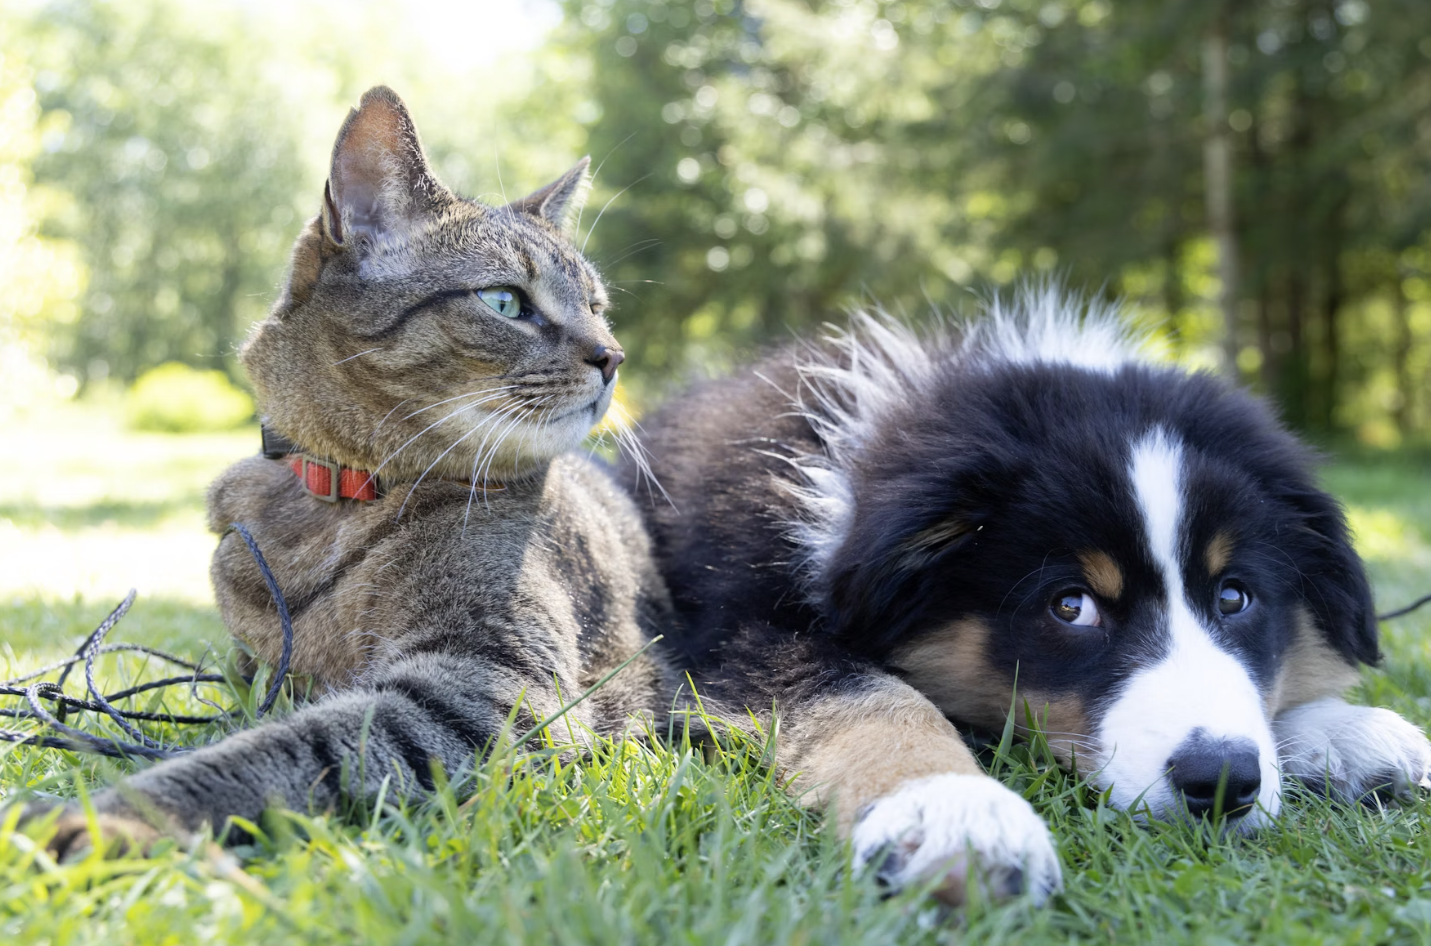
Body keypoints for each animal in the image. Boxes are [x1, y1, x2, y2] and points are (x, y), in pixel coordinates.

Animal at [23, 86, 669, 847]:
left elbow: (284, 749)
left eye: (597, 308)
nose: (613, 355)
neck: (337, 499)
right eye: (505, 300)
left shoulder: (490, 685)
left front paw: (113, 818)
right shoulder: (254, 671)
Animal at [632, 289, 1431, 910]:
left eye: (1235, 596)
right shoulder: (735, 630)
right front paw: (954, 814)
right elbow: (871, 697)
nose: (1221, 780)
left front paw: (1341, 731)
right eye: (1070, 606)